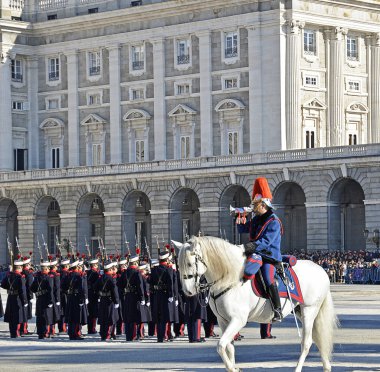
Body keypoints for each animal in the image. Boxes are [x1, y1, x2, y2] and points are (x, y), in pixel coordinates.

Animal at [175, 237, 338, 372]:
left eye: (189, 263)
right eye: (178, 265)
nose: (187, 291)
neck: (228, 278)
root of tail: (320, 269)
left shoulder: (238, 320)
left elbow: (220, 346)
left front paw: (233, 368)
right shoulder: (223, 321)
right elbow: (229, 348)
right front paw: (233, 367)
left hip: (309, 310)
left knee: (307, 342)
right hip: (299, 310)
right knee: (317, 338)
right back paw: (326, 367)